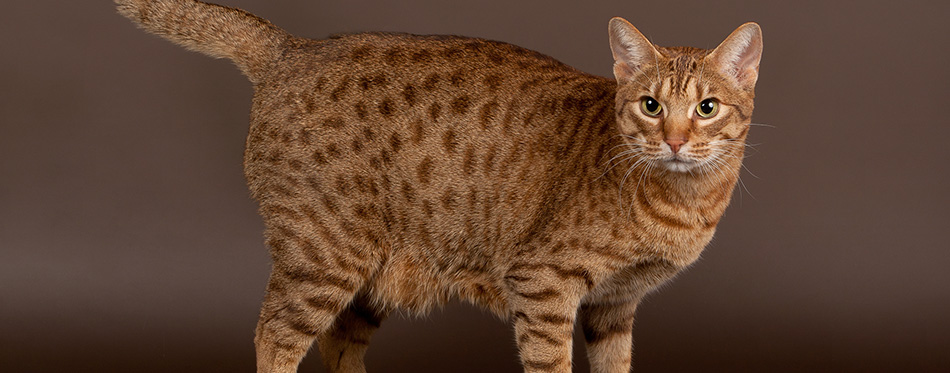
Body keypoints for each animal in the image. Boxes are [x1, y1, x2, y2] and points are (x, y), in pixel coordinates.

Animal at [113, 0, 768, 372]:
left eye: (706, 108)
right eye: (651, 106)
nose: (676, 140)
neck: (681, 204)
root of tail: (292, 48)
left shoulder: (615, 307)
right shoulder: (543, 284)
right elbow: (550, 365)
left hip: (372, 275)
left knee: (338, 345)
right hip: (325, 253)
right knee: (274, 335)